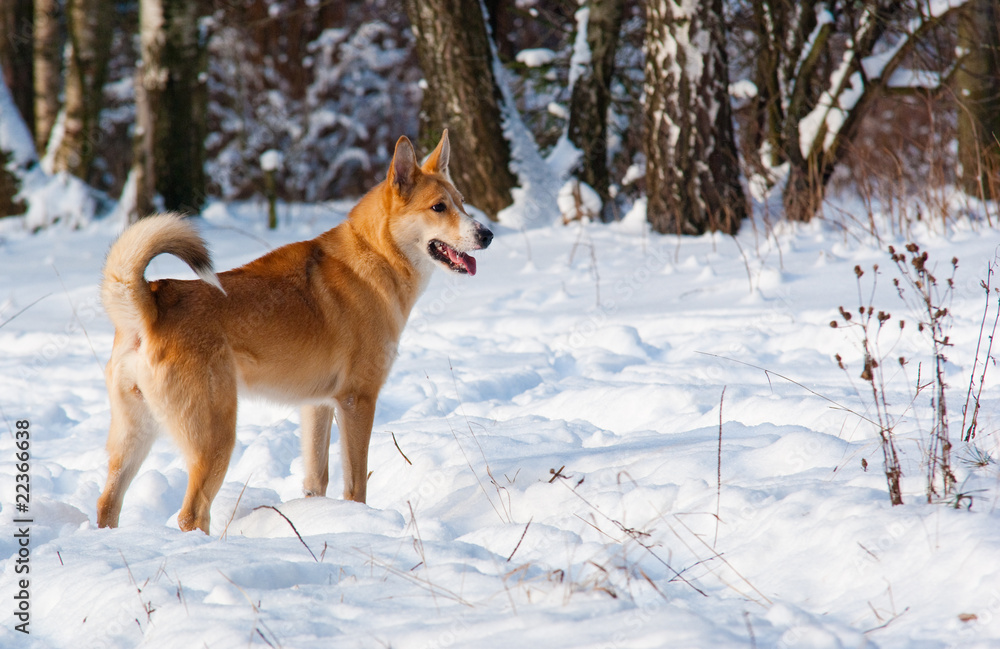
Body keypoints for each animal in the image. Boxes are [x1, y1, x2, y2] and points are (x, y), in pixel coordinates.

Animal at [95, 132, 494, 532]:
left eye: (462, 202)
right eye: (439, 207)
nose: (488, 234)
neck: (378, 255)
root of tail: (151, 303)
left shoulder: (317, 406)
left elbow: (317, 480)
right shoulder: (357, 400)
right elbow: (356, 485)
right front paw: (358, 521)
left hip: (134, 436)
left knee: (107, 504)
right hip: (215, 437)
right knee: (192, 513)